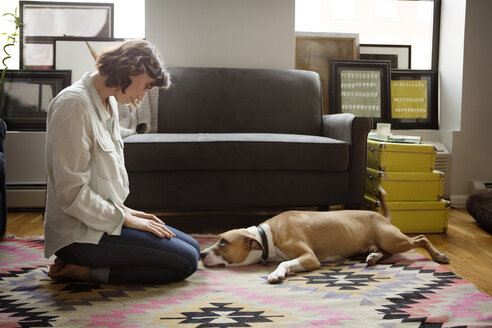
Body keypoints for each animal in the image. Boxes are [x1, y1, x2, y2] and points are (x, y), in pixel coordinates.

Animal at [200, 190, 450, 284]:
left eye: (223, 242)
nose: (201, 253)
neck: (266, 237)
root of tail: (382, 217)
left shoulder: (310, 257)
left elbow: (283, 262)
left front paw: (276, 273)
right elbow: (285, 262)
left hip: (394, 239)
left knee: (420, 239)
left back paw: (439, 255)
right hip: (380, 243)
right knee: (384, 251)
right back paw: (373, 258)